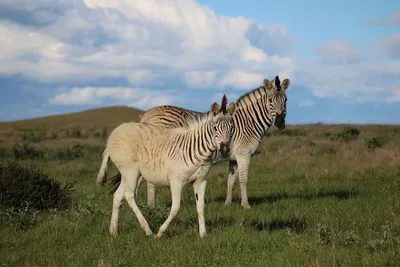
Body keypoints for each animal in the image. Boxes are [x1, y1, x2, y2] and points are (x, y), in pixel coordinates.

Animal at [95, 96, 236, 239]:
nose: (225, 151)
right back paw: (147, 230)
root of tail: (116, 131)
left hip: (126, 174)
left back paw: (113, 231)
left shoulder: (201, 181)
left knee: (118, 196)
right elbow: (176, 208)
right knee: (129, 196)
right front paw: (160, 233)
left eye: (232, 129)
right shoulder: (176, 181)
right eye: (215, 128)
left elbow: (201, 207)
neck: (197, 151)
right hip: (131, 172)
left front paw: (203, 234)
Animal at [136, 75, 290, 209]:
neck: (248, 122)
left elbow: (230, 181)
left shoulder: (233, 157)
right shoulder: (244, 155)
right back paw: (152, 206)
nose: (280, 122)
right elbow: (243, 180)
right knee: (150, 181)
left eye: (286, 100)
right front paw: (245, 205)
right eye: (270, 100)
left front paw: (227, 204)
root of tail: (146, 115)